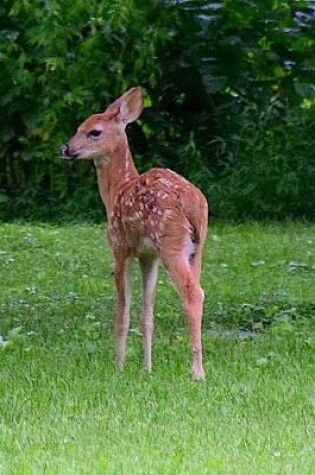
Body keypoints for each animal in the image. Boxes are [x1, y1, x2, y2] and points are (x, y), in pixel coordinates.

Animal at [58, 88, 210, 380]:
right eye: (78, 127)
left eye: (94, 131)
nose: (65, 149)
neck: (116, 191)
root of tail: (191, 202)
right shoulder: (148, 256)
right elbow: (146, 314)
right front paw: (147, 368)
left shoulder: (119, 248)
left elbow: (122, 311)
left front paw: (118, 366)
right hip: (197, 249)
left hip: (171, 242)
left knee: (193, 293)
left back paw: (197, 372)